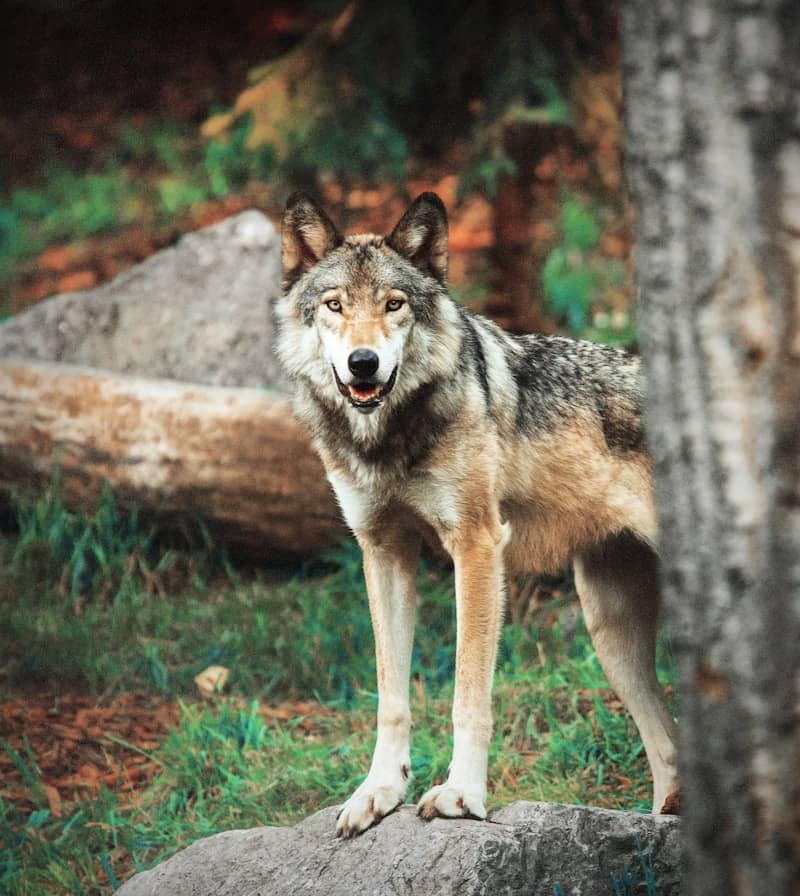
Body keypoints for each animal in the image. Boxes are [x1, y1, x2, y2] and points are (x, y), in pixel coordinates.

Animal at [278, 191, 680, 840]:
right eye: (335, 305)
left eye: (394, 305)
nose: (363, 363)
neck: (391, 440)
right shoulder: (383, 551)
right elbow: (391, 697)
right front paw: (378, 793)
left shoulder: (476, 546)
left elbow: (469, 694)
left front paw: (461, 795)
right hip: (612, 637)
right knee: (668, 745)